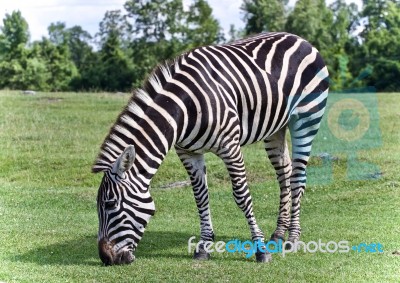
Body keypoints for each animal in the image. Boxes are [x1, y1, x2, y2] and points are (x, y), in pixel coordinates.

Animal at [92, 32, 330, 268]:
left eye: (110, 204)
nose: (106, 258)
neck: (183, 111)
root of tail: (298, 37)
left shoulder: (230, 147)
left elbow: (242, 195)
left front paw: (260, 250)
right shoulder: (188, 152)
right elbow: (200, 196)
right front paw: (204, 246)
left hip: (306, 120)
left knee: (298, 177)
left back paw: (293, 238)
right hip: (276, 128)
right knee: (284, 174)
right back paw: (279, 233)